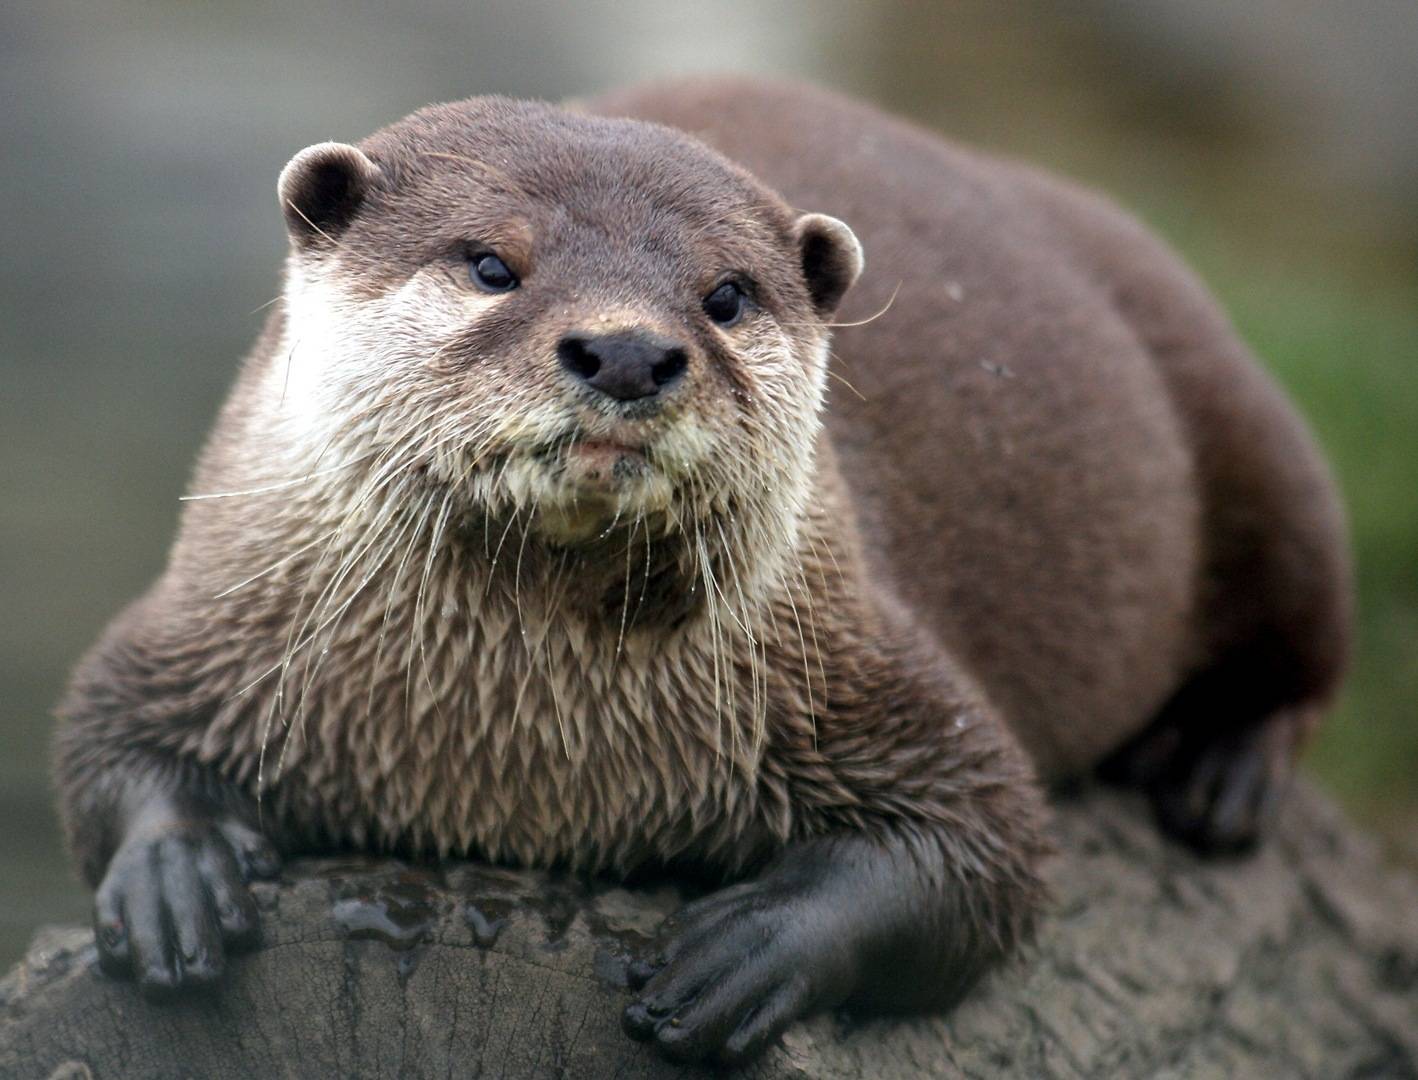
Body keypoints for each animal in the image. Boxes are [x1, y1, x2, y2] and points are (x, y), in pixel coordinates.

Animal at [54, 77, 1350, 1066]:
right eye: (490, 265)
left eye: (724, 295)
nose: (628, 349)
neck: (506, 763)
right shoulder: (203, 615)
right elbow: (102, 732)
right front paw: (175, 872)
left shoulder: (871, 667)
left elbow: (988, 845)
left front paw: (752, 946)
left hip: (1246, 426)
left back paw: (1219, 773)